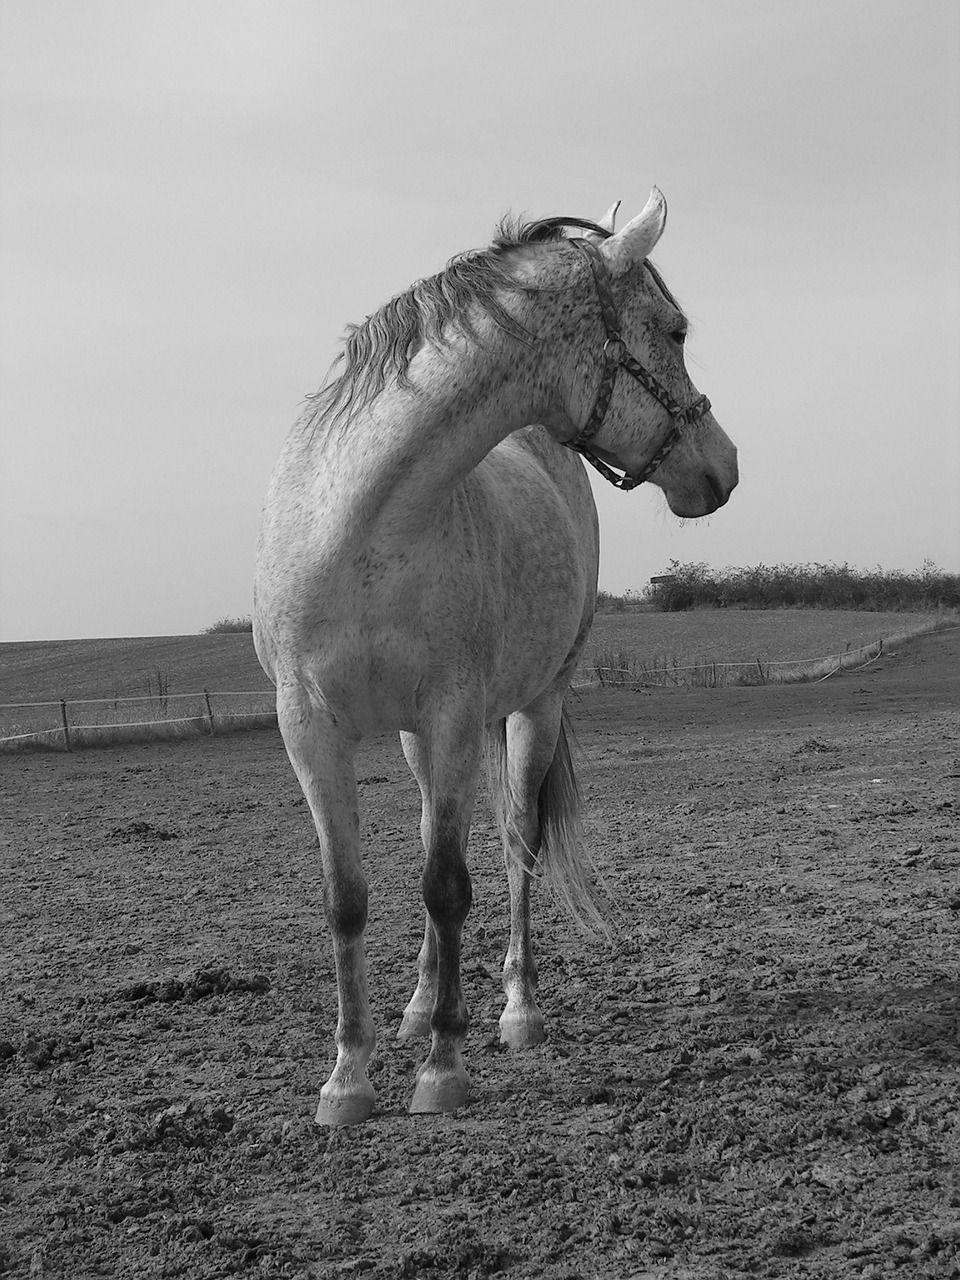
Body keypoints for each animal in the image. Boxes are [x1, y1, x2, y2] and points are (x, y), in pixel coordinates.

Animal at [252, 185, 742, 1126]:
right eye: (673, 330)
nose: (724, 467)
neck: (365, 531)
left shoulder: (453, 717)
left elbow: (450, 886)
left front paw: (443, 1070)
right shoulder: (311, 731)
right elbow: (350, 897)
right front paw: (349, 1077)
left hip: (532, 710)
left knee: (516, 848)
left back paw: (516, 1010)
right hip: (417, 740)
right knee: (431, 843)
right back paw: (414, 1007)